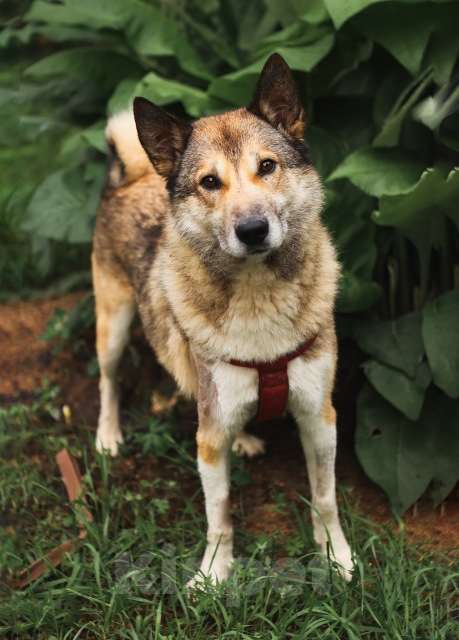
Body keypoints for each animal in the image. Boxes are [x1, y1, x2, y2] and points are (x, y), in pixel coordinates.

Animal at [91, 53, 354, 584]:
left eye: (267, 166)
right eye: (209, 182)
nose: (253, 229)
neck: (258, 297)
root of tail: (130, 176)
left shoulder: (320, 416)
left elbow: (325, 498)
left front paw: (335, 557)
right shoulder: (208, 438)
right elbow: (221, 512)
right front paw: (215, 573)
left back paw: (248, 438)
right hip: (113, 324)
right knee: (109, 380)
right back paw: (108, 435)